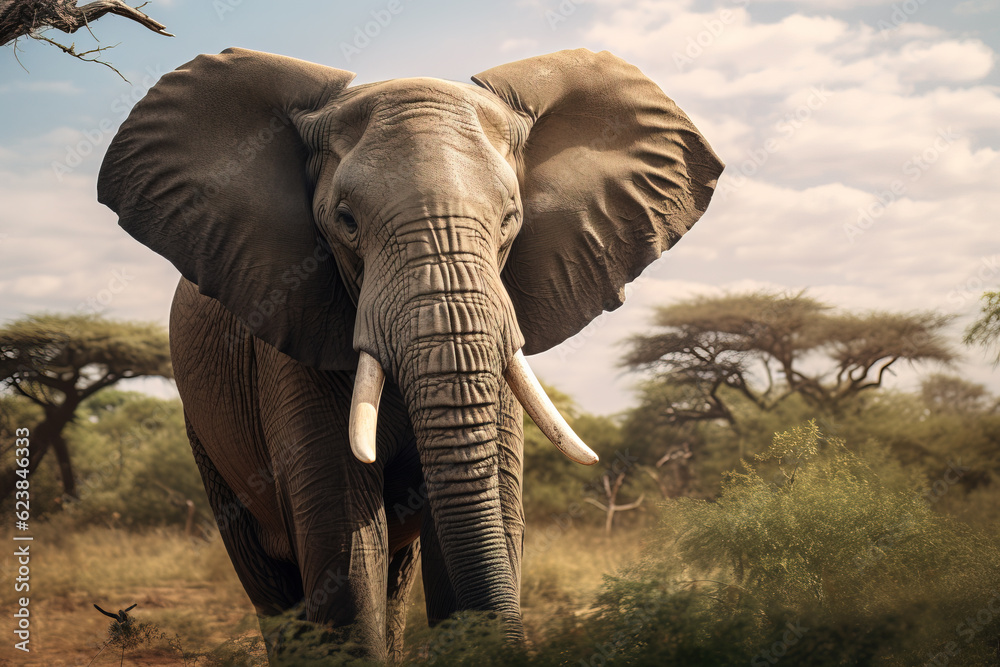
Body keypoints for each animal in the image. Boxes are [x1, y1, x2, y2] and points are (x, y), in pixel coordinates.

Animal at [97, 47, 723, 661]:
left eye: (510, 219)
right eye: (346, 221)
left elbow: (488, 513)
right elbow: (343, 542)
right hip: (205, 436)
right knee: (272, 585)